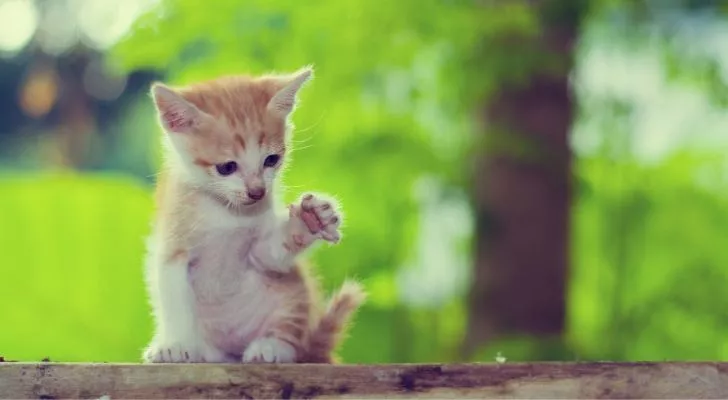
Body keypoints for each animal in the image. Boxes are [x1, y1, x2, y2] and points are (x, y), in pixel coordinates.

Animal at [141, 67, 364, 364]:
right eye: (226, 167)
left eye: (271, 160)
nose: (257, 192)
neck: (226, 211)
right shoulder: (171, 250)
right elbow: (174, 300)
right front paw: (176, 344)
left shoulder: (260, 251)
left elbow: (273, 253)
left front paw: (309, 221)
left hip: (293, 292)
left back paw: (271, 346)